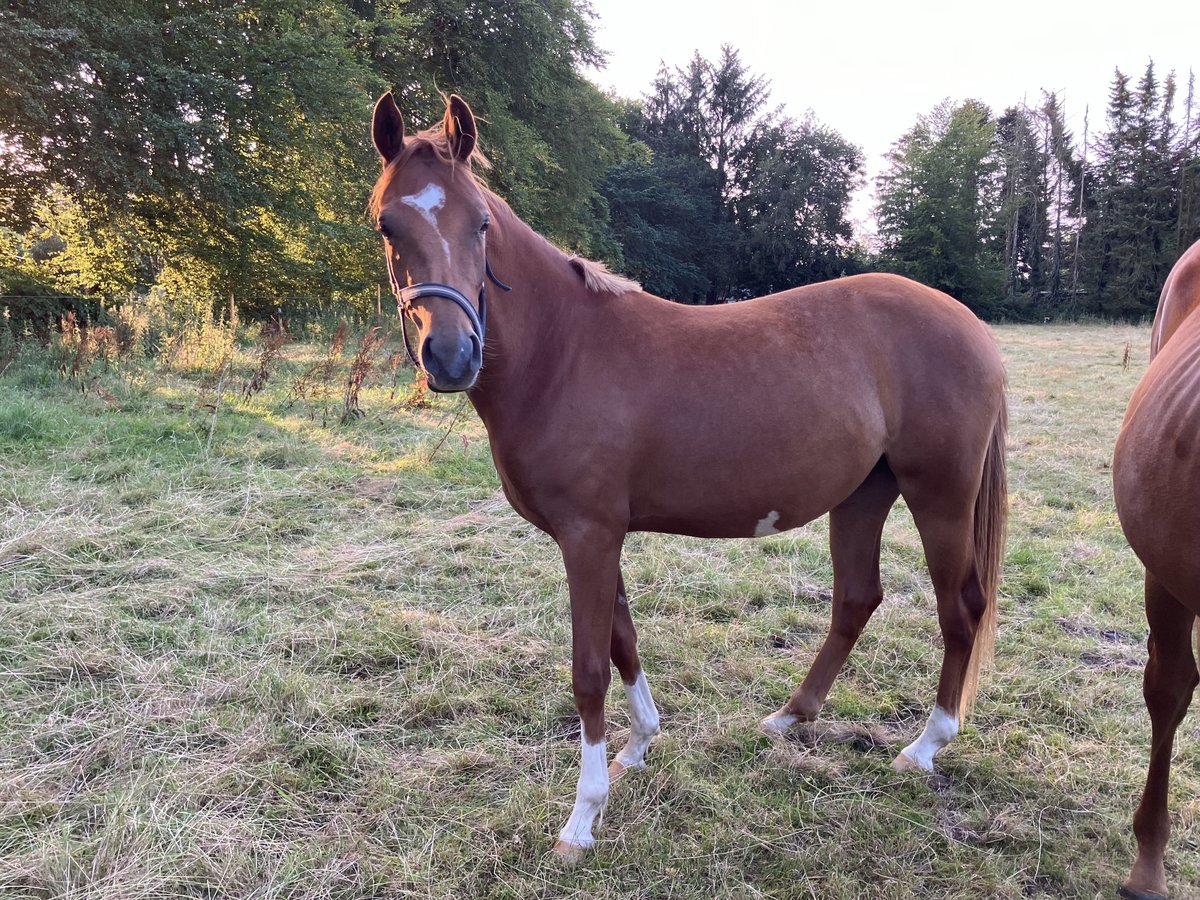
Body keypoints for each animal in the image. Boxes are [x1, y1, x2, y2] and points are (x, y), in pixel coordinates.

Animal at [369, 95, 1008, 864]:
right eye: (387, 224)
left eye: (482, 224)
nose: (452, 355)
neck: (564, 352)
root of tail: (969, 323)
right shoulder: (598, 535)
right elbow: (623, 643)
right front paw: (639, 746)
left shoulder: (588, 536)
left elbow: (589, 669)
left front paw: (582, 818)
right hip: (863, 495)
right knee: (857, 600)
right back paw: (789, 717)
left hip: (939, 494)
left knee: (960, 609)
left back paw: (925, 746)